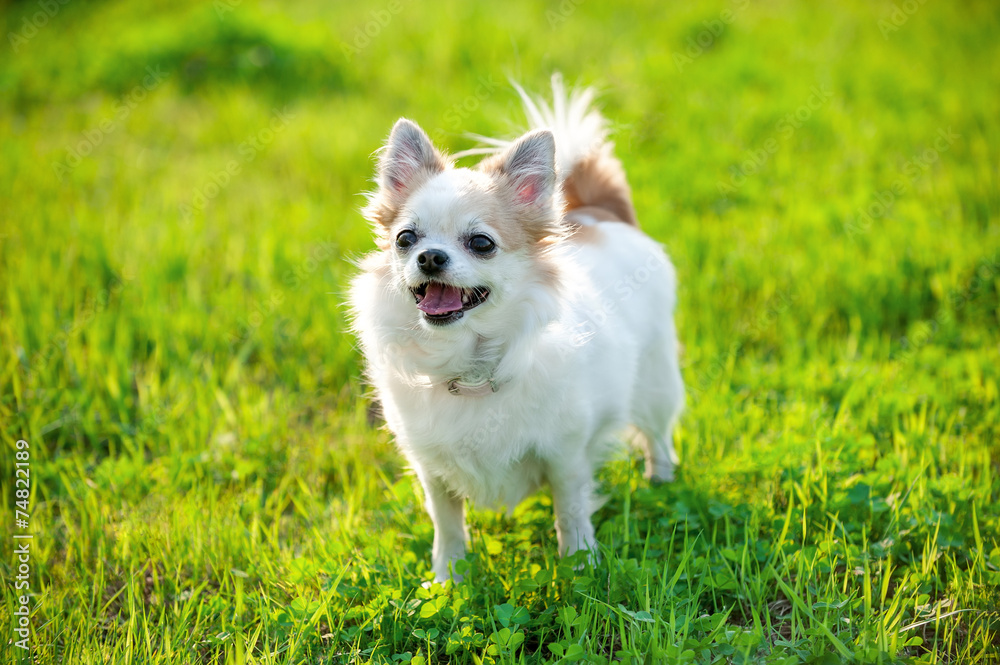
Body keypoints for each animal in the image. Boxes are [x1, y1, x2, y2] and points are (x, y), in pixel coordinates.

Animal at [348, 74, 684, 580]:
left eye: (481, 243)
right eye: (405, 239)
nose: (429, 257)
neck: (469, 364)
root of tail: (598, 213)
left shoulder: (565, 455)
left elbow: (570, 510)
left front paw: (580, 567)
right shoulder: (431, 469)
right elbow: (447, 525)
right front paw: (448, 580)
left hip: (655, 377)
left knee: (658, 433)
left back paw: (661, 479)